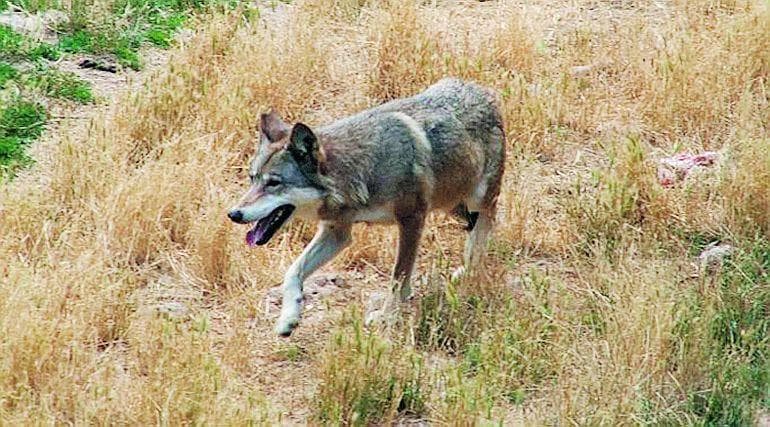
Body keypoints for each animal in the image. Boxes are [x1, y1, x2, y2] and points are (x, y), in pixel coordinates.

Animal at [228, 78, 505, 336]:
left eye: (273, 183)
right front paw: (288, 318)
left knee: (484, 226)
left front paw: (387, 317)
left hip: (477, 199)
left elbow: (398, 277)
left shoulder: (412, 219)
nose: (233, 214)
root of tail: (481, 90)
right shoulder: (337, 233)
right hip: (452, 204)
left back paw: (470, 271)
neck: (359, 172)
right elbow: (292, 272)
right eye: (252, 179)